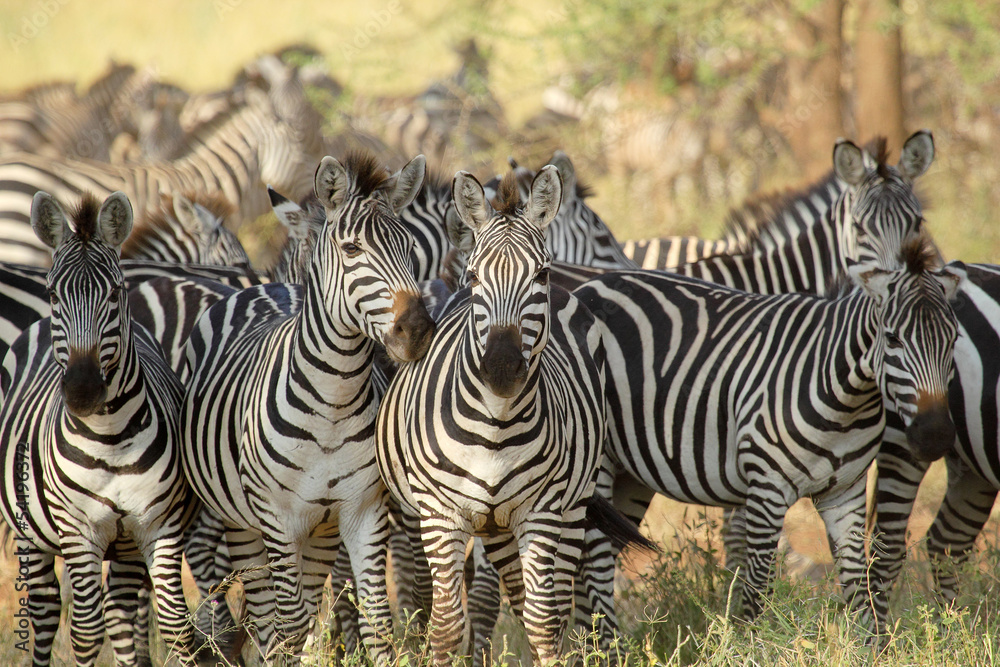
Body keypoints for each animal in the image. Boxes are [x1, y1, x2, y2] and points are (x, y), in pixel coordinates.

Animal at [0, 191, 211, 666]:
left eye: (115, 292)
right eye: (52, 292)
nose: (82, 391)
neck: (111, 438)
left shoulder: (158, 526)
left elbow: (176, 625)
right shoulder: (79, 533)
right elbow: (84, 632)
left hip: (126, 545)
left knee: (119, 612)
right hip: (29, 533)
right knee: (45, 611)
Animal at [180, 151, 435, 663]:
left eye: (410, 249)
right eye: (352, 250)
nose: (416, 331)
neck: (332, 404)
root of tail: (267, 287)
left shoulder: (362, 511)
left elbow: (377, 621)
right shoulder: (277, 518)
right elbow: (289, 625)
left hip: (319, 531)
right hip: (241, 522)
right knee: (265, 619)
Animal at [375, 167, 613, 666]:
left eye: (540, 274)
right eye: (475, 276)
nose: (502, 367)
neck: (496, 425)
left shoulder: (542, 510)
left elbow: (544, 623)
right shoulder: (439, 514)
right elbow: (447, 626)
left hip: (572, 504)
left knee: (551, 602)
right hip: (491, 526)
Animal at [573, 234, 964, 637]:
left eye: (954, 340)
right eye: (893, 339)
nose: (934, 435)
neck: (845, 395)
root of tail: (591, 284)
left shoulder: (846, 493)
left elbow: (860, 594)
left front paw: (870, 646)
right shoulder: (766, 491)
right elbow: (757, 595)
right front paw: (750, 643)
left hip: (630, 473)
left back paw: (588, 643)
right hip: (597, 463)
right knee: (595, 557)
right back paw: (607, 645)